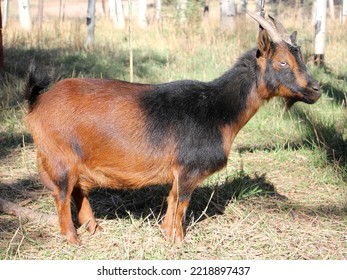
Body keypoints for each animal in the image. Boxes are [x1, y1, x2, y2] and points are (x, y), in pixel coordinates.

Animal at [25, 10, 320, 244]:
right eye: (282, 61)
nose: (316, 89)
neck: (217, 109)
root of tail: (37, 102)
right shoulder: (187, 169)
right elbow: (181, 203)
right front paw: (176, 240)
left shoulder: (180, 173)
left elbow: (172, 201)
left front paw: (166, 234)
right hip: (60, 159)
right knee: (62, 196)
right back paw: (72, 239)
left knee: (78, 192)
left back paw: (94, 228)